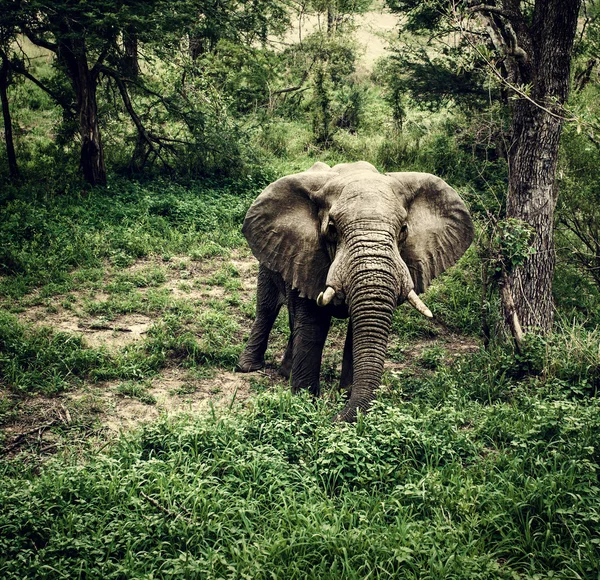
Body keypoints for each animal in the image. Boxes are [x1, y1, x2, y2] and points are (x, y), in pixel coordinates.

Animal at [236, 160, 474, 422]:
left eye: (403, 229)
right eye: (331, 228)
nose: (335, 417)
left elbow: (357, 332)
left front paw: (344, 397)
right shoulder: (307, 254)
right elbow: (313, 326)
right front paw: (305, 403)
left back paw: (285, 373)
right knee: (267, 307)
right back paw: (248, 368)